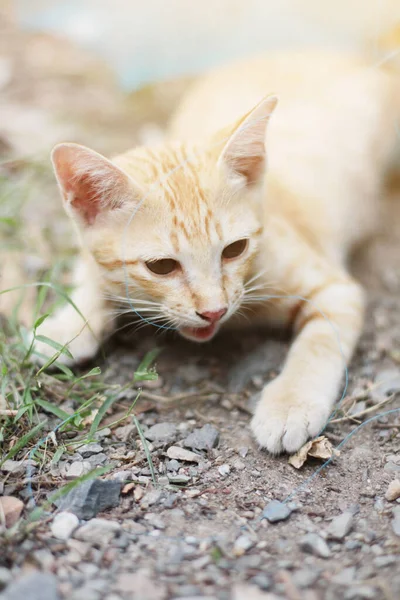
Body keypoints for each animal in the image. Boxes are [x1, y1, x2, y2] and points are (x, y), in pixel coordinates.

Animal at [30, 50, 400, 454]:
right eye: (162, 266)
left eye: (235, 249)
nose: (213, 311)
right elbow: (93, 277)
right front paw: (66, 328)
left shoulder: (336, 289)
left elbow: (319, 344)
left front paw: (291, 403)